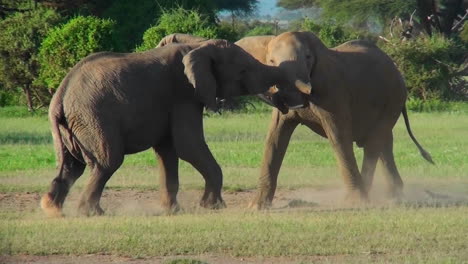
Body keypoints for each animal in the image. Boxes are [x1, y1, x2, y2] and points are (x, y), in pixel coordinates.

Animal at [39, 39, 308, 217]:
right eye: (243, 71)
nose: (296, 103)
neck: (198, 47)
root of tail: (59, 98)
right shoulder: (183, 94)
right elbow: (188, 146)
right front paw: (212, 207)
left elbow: (168, 152)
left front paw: (174, 211)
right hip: (95, 119)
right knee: (107, 162)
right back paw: (92, 213)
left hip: (73, 127)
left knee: (71, 166)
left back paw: (52, 208)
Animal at [234, 31, 436, 208]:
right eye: (271, 62)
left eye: (308, 57)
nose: (298, 101)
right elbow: (274, 139)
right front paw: (256, 207)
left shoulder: (332, 91)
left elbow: (338, 138)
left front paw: (355, 203)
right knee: (384, 143)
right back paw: (394, 196)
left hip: (394, 97)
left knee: (374, 143)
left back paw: (373, 196)